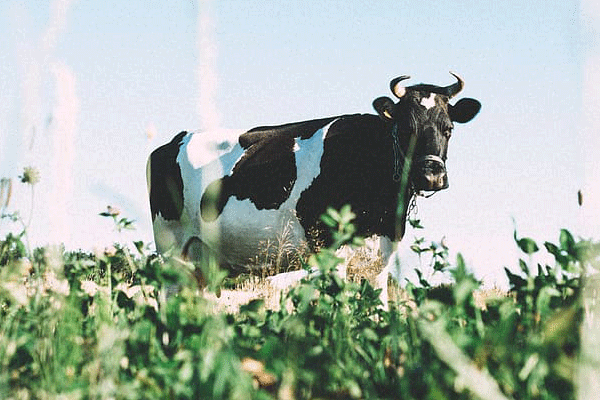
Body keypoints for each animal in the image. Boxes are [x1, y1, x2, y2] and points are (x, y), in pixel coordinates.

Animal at [148, 72, 480, 304]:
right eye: (407, 128)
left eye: (448, 128)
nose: (431, 175)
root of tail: (173, 140)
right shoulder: (332, 248)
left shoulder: (381, 256)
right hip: (172, 248)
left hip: (204, 261)